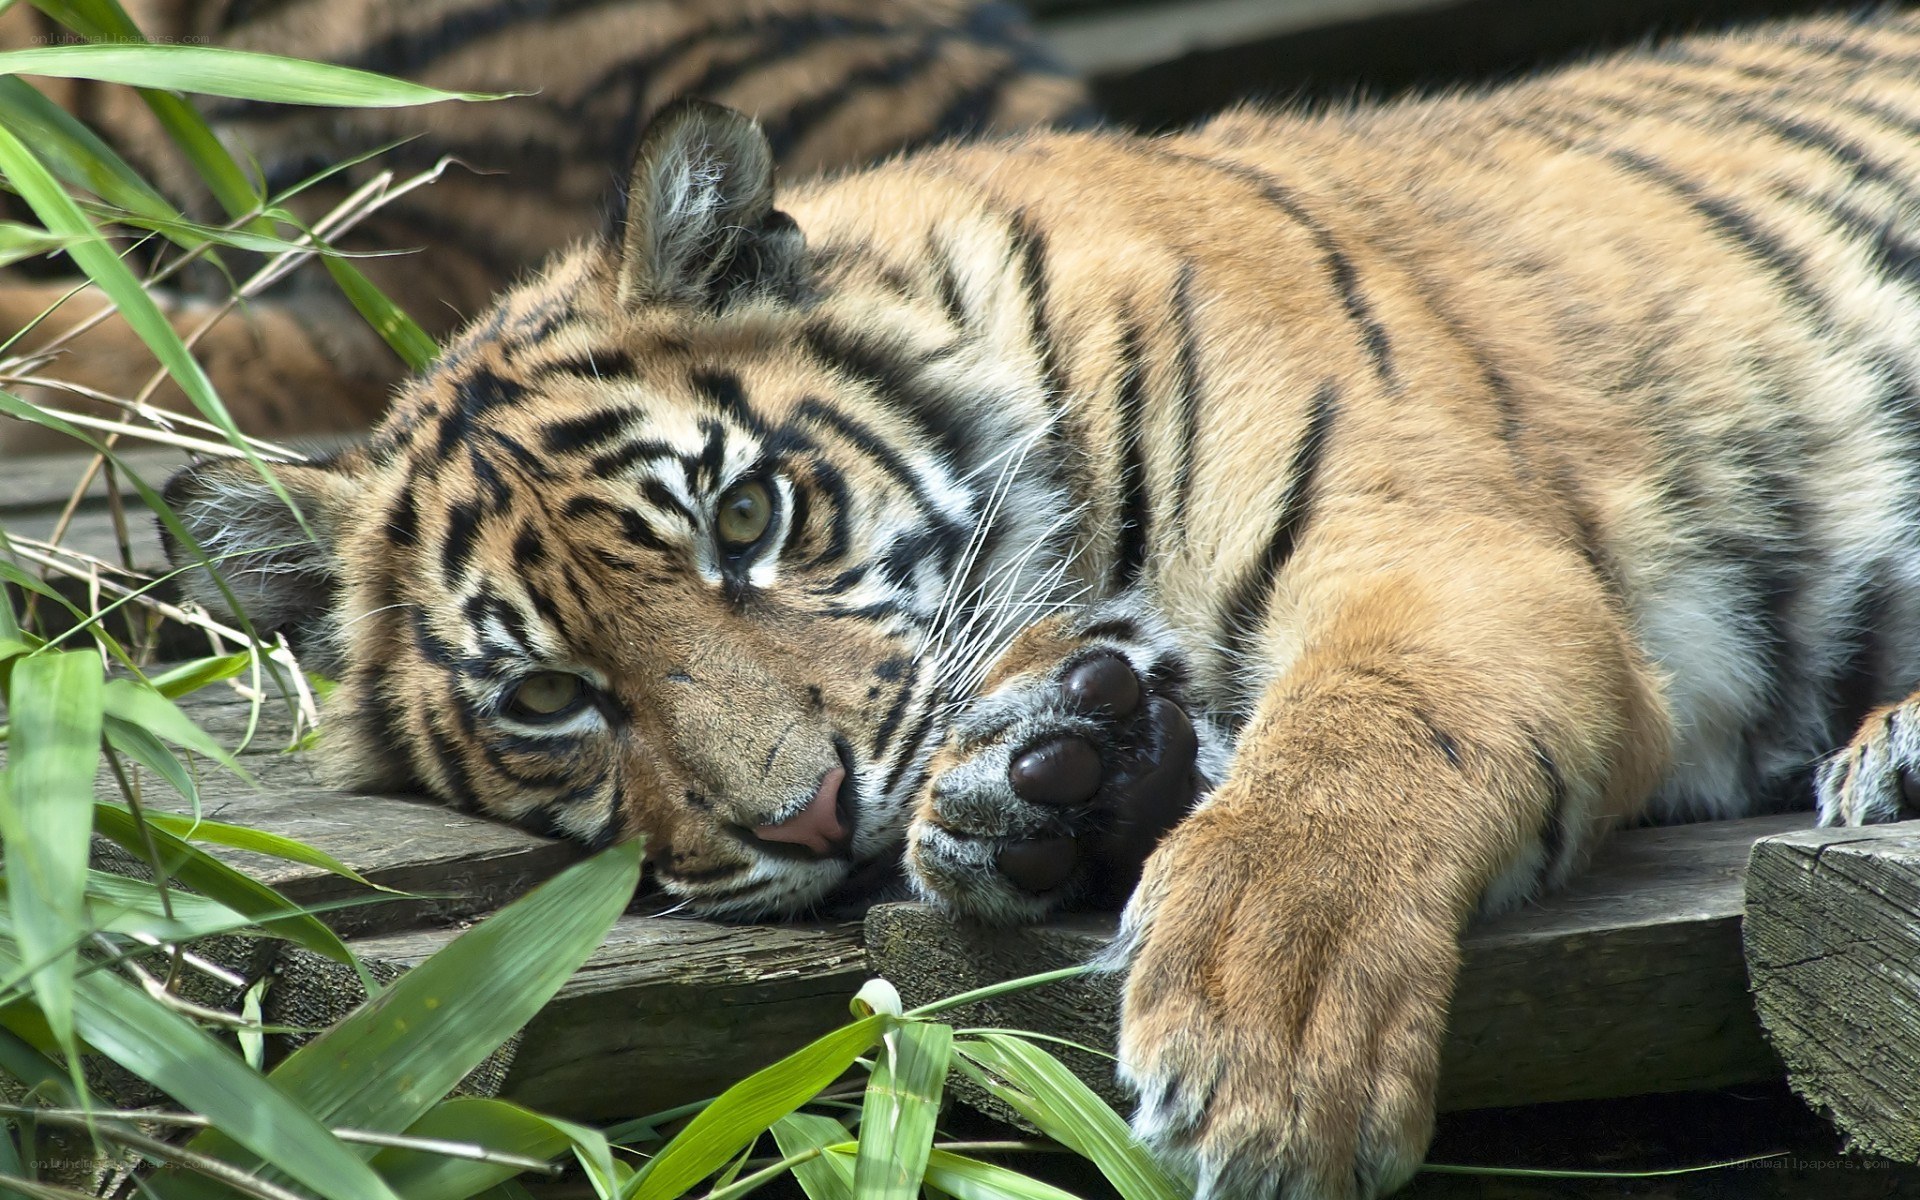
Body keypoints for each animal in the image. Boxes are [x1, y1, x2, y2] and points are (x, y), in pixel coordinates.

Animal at [161, 8, 1920, 1199]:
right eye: (547, 701)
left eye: (748, 518)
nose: (808, 819)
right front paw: (1049, 784)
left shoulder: (1452, 551)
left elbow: (1348, 762)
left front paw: (1264, 1050)